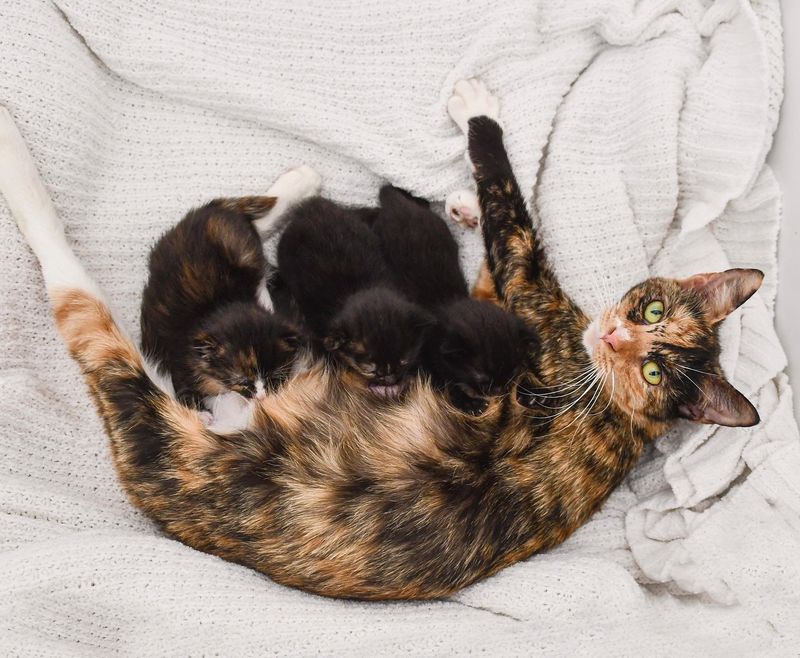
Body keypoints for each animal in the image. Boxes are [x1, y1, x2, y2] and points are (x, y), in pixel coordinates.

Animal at [139, 197, 302, 408]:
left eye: (274, 377)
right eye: (242, 381)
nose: (261, 397)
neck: (219, 306)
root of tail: (213, 209)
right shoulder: (180, 361)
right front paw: (200, 411)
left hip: (242, 249)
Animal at [374, 182, 532, 412]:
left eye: (512, 371)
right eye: (482, 377)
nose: (499, 390)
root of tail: (395, 204)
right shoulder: (427, 362)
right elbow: (448, 388)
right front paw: (470, 403)